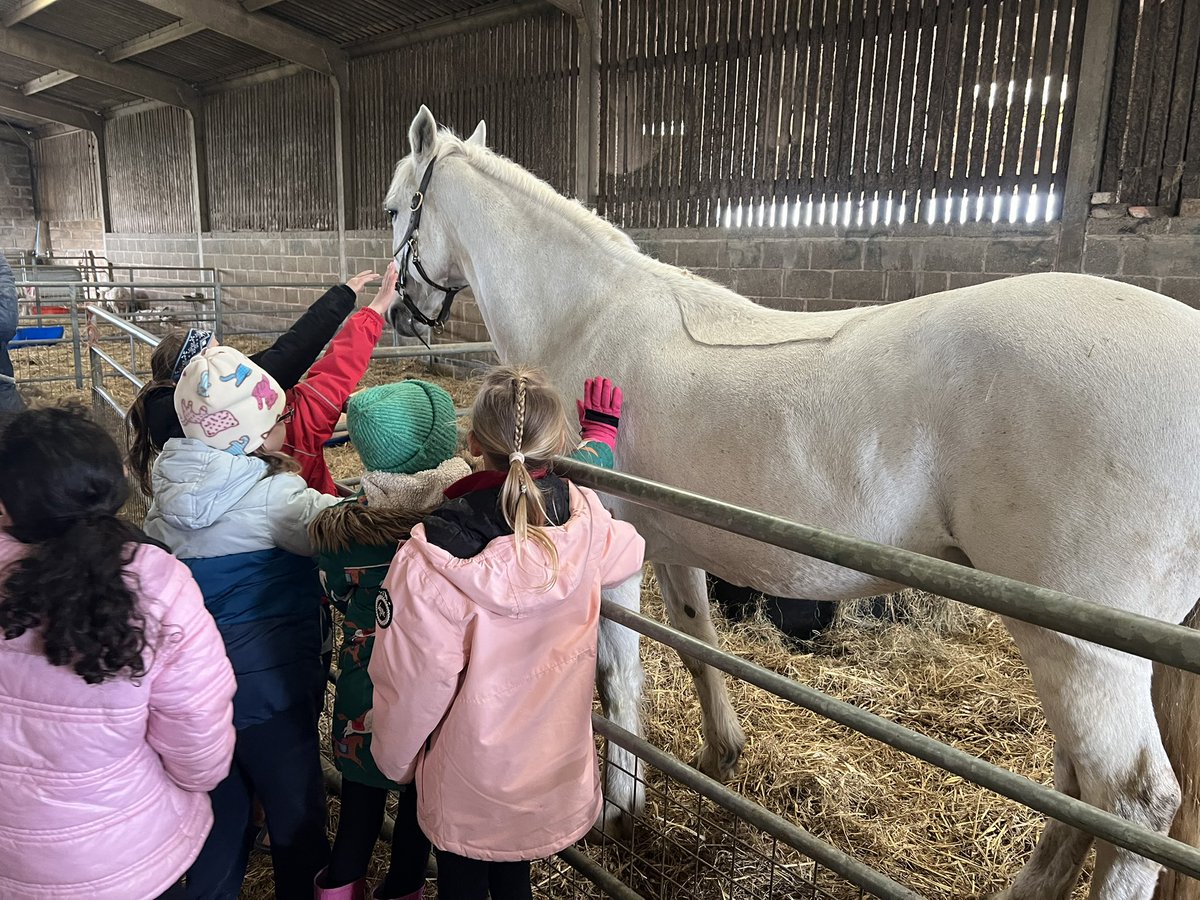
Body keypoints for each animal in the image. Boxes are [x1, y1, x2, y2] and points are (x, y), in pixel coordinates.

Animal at [384, 107, 1200, 900]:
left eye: (395, 209)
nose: (400, 314)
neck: (590, 314)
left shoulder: (605, 548)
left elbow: (617, 676)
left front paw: (620, 809)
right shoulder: (672, 547)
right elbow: (698, 646)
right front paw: (721, 754)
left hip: (1082, 649)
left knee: (1133, 801)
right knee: (1078, 788)